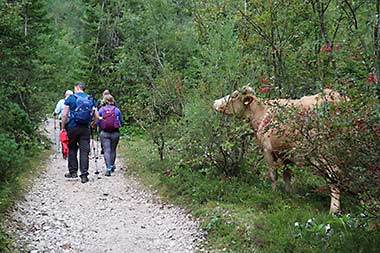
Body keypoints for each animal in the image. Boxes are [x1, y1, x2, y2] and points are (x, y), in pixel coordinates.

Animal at [214, 87, 348, 213]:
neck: (261, 112)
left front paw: (273, 194)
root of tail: (336, 97)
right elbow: (287, 175)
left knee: (333, 174)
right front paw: (288, 194)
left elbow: (274, 175)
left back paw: (334, 209)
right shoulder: (286, 154)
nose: (215, 102)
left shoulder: (267, 151)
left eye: (234, 96)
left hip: (323, 151)